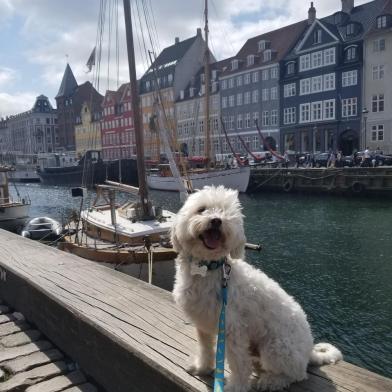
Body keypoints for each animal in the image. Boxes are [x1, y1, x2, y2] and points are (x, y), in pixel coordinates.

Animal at [172, 185, 340, 390]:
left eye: (226, 212)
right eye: (201, 209)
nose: (216, 220)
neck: (207, 268)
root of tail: (309, 352)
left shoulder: (233, 328)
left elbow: (239, 364)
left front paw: (235, 388)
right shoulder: (203, 324)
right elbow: (206, 349)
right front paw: (202, 368)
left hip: (276, 347)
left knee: (296, 375)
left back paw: (271, 381)